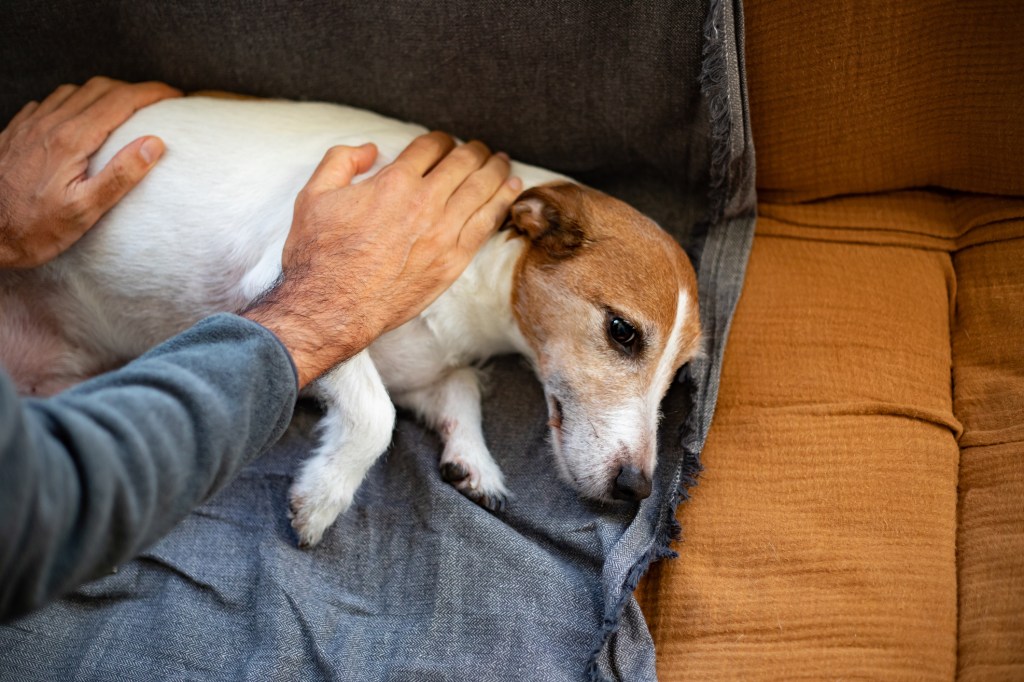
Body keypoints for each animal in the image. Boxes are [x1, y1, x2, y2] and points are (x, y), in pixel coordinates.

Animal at [0, 95, 700, 544]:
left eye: (679, 377)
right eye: (622, 331)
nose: (639, 488)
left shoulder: (422, 369)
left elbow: (457, 390)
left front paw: (472, 457)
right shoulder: (283, 282)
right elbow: (375, 416)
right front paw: (324, 498)